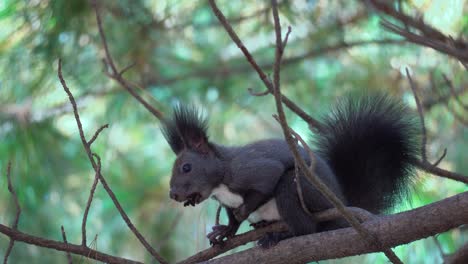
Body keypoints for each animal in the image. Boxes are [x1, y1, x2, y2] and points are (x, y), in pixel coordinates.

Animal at [163, 95, 418, 248]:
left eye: (187, 167)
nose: (173, 194)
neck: (220, 182)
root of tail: (341, 206)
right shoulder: (225, 201)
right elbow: (231, 217)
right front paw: (226, 230)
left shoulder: (249, 170)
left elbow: (266, 182)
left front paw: (243, 212)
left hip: (299, 188)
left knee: (306, 229)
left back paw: (280, 235)